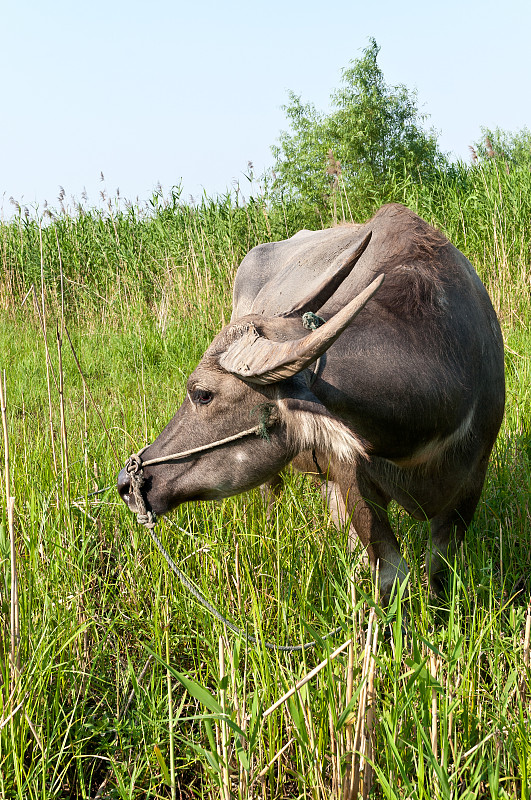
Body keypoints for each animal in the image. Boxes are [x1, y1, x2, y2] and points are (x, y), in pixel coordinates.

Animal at [118, 203, 504, 604]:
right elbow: (390, 575)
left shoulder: (470, 484)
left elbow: (440, 574)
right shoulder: (355, 479)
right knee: (272, 492)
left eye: (202, 393)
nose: (126, 483)